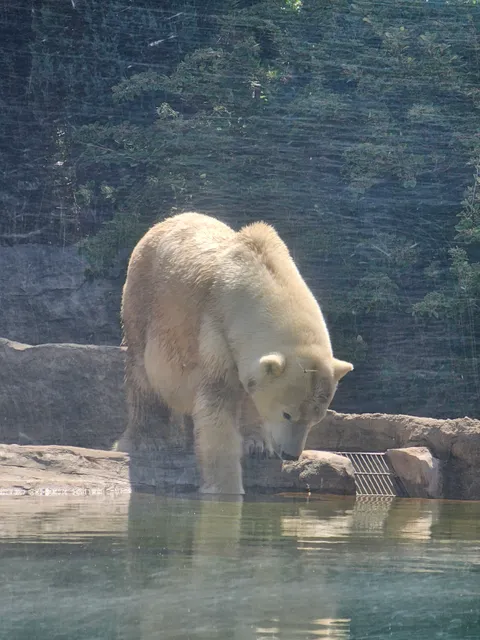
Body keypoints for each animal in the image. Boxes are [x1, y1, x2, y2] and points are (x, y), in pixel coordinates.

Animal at [115, 212, 353, 494]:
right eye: (287, 413)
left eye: (316, 418)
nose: (291, 455)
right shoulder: (216, 331)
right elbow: (217, 404)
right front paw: (226, 486)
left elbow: (250, 395)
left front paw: (257, 445)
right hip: (143, 301)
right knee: (143, 376)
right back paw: (148, 440)